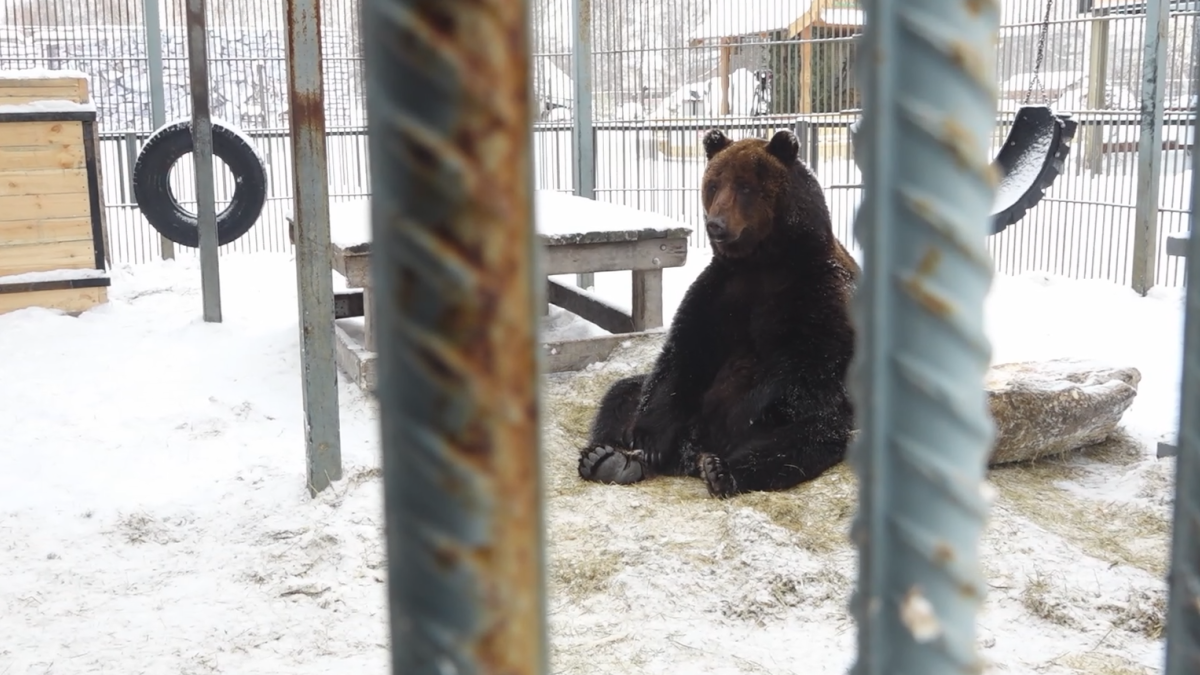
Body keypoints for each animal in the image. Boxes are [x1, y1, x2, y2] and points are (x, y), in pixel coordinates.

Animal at [576, 127, 859, 494]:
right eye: (713, 185)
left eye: (745, 187)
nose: (716, 225)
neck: (763, 262)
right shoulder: (719, 291)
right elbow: (683, 355)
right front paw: (649, 443)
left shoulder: (816, 292)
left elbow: (807, 367)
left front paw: (740, 419)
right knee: (623, 394)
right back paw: (610, 458)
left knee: (806, 438)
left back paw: (721, 468)